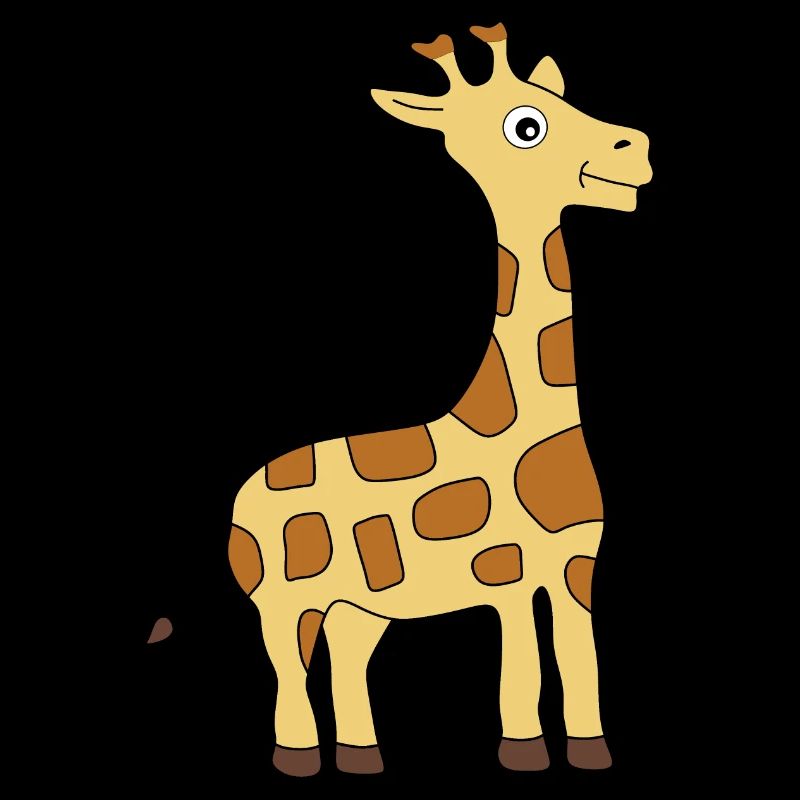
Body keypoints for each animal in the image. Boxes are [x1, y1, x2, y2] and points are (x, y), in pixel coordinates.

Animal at [230, 23, 651, 777]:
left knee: (346, 658)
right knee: (287, 670)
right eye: (526, 125)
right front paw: (523, 753)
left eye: (558, 100)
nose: (636, 149)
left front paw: (591, 751)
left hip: (361, 604)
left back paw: (363, 757)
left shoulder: (577, 563)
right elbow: (523, 667)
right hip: (280, 600)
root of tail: (241, 497)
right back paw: (298, 758)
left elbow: (580, 660)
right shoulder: (507, 572)